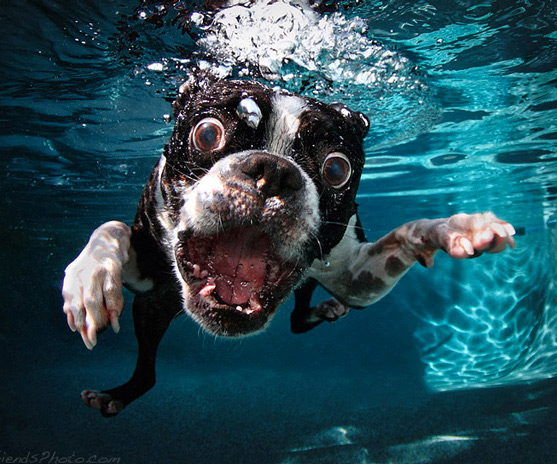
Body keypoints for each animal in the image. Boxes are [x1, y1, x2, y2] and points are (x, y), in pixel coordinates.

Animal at [62, 72, 516, 416]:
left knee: (299, 318)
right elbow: (111, 227)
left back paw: (324, 310)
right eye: (207, 134)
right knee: (149, 369)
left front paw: (457, 227)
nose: (274, 171)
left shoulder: (359, 280)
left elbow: (408, 230)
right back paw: (116, 395)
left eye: (336, 168)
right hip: (151, 308)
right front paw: (89, 280)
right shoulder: (145, 273)